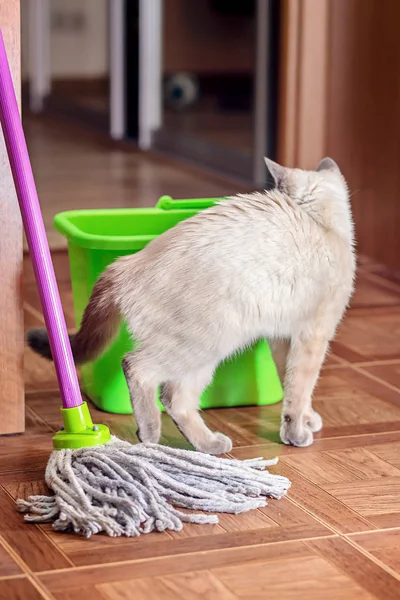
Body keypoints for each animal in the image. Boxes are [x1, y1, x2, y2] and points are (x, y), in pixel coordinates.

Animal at [28, 157, 356, 452]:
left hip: (205, 353)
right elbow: (299, 390)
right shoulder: (313, 335)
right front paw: (297, 435)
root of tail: (125, 263)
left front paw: (310, 420)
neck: (321, 224)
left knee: (174, 398)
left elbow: (294, 386)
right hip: (208, 343)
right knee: (140, 370)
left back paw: (207, 444)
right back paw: (151, 435)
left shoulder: (285, 337)